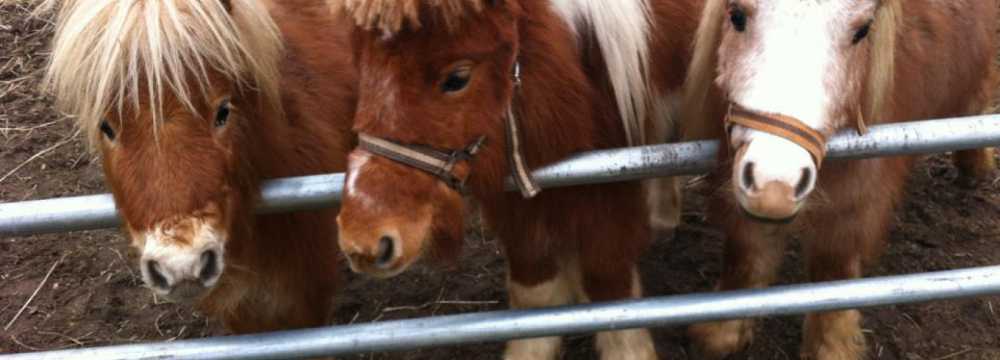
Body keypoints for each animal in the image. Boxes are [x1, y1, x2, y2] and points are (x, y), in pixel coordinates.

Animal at [332, 0, 700, 358]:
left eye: (457, 78)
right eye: (363, 72)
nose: (365, 242)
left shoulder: (611, 190)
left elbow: (610, 290)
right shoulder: (514, 204)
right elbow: (534, 295)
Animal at [684, 0, 1000, 358]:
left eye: (862, 30)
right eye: (736, 15)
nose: (775, 189)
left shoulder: (858, 190)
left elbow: (833, 268)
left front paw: (831, 345)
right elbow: (746, 251)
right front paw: (722, 331)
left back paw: (975, 163)